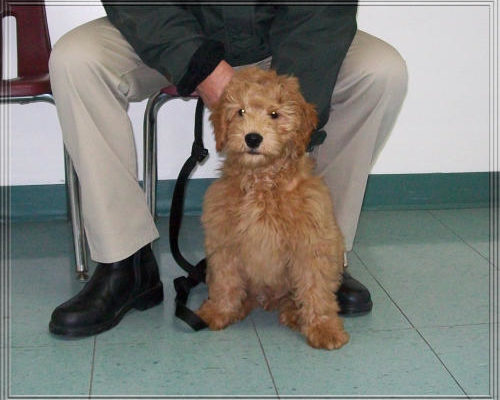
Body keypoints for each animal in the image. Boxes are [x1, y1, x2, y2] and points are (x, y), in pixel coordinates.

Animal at [196, 67, 348, 348]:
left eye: (275, 114)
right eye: (240, 111)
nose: (253, 138)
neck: (262, 183)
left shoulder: (311, 243)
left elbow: (316, 288)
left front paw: (323, 328)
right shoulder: (224, 241)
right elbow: (225, 280)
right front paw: (218, 311)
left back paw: (295, 313)